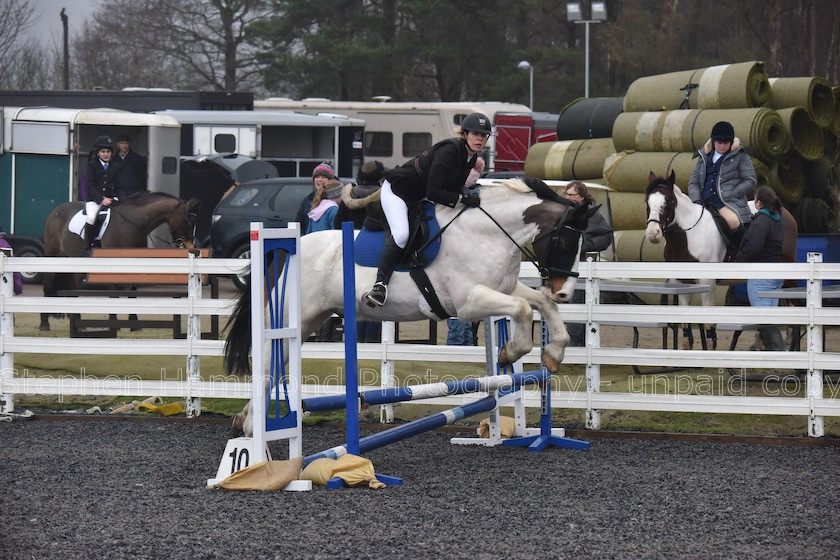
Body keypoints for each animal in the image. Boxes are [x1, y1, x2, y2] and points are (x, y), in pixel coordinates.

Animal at [39, 194, 200, 332]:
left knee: (74, 289)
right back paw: (44, 324)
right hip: (53, 256)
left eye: (194, 222)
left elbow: (132, 291)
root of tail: (57, 210)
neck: (131, 225)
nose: (190, 246)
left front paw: (134, 324)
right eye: (188, 221)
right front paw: (114, 325)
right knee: (48, 285)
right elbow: (114, 294)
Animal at [644, 171, 796, 348]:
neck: (689, 235)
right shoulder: (681, 284)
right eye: (647, 201)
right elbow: (686, 330)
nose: (653, 233)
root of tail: (784, 213)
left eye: (668, 201)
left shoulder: (707, 283)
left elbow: (709, 326)